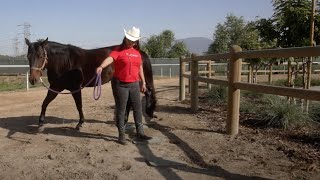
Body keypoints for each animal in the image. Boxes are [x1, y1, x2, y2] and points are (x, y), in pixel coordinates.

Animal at [25, 38, 156, 130]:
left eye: (41, 55)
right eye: (28, 56)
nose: (33, 79)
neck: (65, 61)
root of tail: (139, 52)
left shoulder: (75, 88)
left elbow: (79, 105)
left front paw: (80, 123)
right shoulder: (56, 87)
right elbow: (45, 102)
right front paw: (41, 122)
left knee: (146, 93)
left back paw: (148, 113)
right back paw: (124, 120)